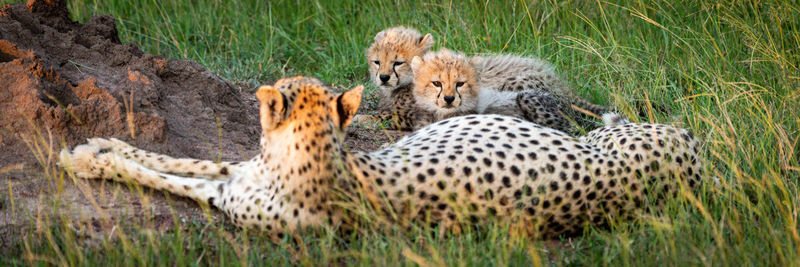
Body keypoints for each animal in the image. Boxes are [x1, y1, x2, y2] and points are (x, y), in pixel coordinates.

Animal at [61, 76, 700, 240]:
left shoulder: (231, 193)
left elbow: (165, 173)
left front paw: (85, 159)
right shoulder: (236, 176)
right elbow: (176, 162)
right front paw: (100, 147)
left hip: (616, 137)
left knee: (607, 115)